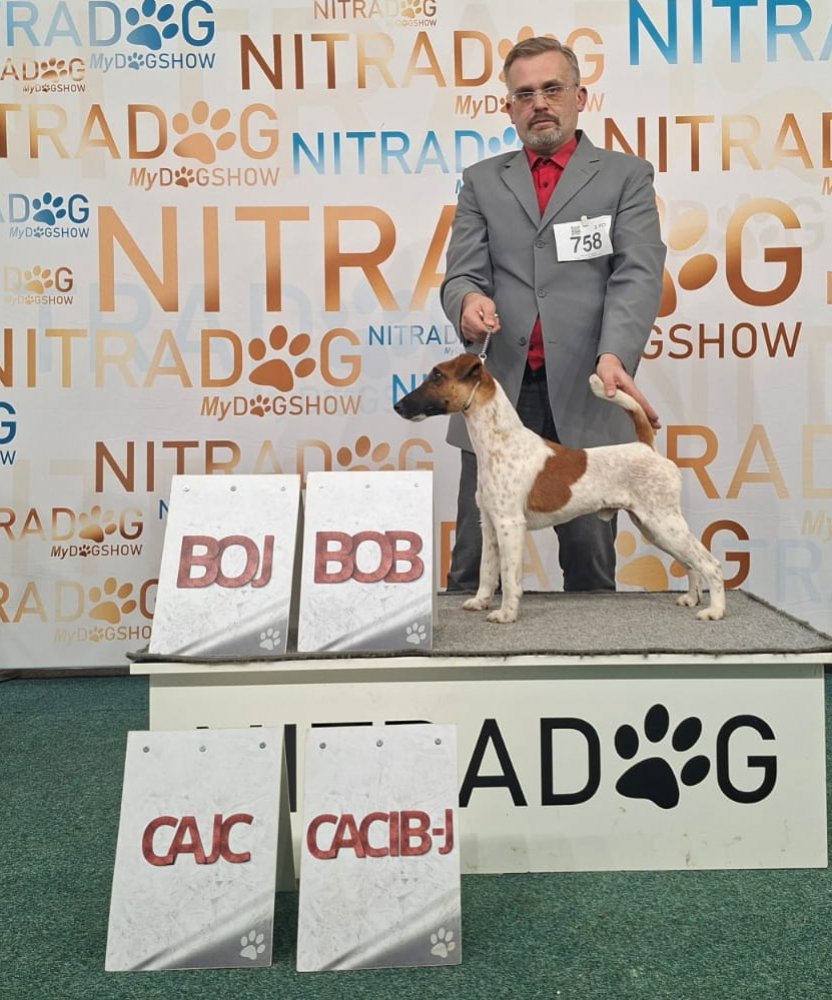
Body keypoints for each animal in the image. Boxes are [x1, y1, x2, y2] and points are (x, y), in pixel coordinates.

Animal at [394, 353, 725, 624]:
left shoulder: (510, 525)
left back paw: (714, 610)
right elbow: (487, 570)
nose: (398, 405)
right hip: (654, 528)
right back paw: (691, 598)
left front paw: (506, 613)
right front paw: (481, 602)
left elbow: (509, 575)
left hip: (663, 523)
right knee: (690, 563)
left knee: (710, 564)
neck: (500, 441)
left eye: (437, 376)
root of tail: (646, 447)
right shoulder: (489, 523)